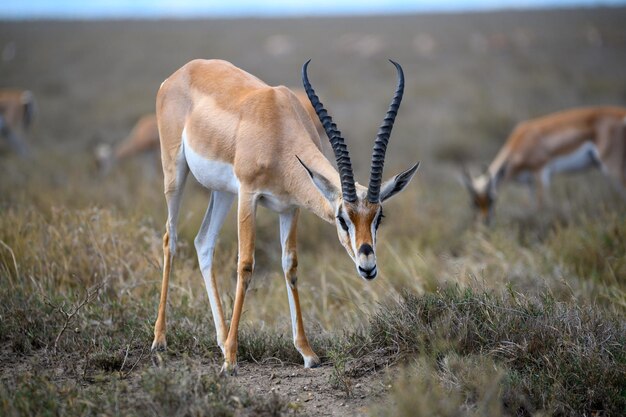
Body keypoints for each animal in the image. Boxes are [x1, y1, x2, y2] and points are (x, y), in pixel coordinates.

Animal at [150, 59, 420, 374]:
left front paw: (307, 353)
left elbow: (290, 266)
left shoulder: (290, 208)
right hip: (175, 171)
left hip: (223, 192)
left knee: (203, 242)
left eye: (378, 217)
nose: (368, 266)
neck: (277, 126)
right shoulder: (249, 195)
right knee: (170, 238)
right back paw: (161, 340)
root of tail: (182, 72)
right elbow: (246, 265)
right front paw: (231, 360)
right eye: (342, 218)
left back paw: (220, 339)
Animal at [460, 107, 620, 224]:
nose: (485, 221)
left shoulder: (541, 173)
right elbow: (532, 207)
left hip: (612, 167)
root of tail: (620, 114)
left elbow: (541, 206)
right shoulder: (529, 183)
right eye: (473, 202)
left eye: (492, 198)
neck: (522, 140)